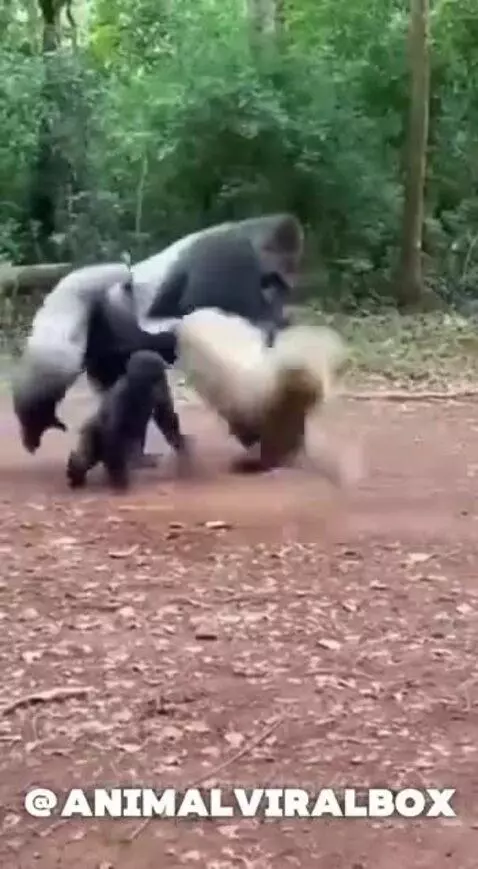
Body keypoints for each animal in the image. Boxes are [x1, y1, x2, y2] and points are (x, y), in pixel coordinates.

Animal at [66, 350, 190, 491]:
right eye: (154, 379)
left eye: (161, 378)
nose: (159, 386)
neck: (139, 389)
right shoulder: (121, 396)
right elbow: (113, 430)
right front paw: (120, 479)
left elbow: (165, 416)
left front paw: (181, 445)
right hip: (96, 436)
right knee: (89, 449)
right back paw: (77, 469)